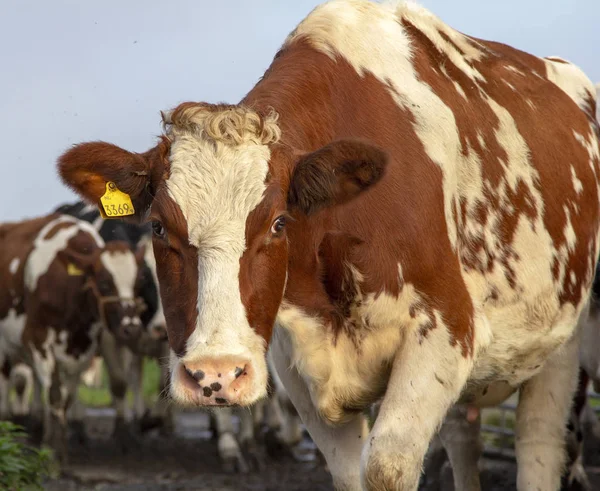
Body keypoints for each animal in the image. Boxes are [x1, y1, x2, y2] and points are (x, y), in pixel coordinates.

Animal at [0, 213, 145, 464]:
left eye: (137, 284)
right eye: (104, 283)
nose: (131, 327)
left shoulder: (82, 350)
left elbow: (65, 398)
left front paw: (55, 449)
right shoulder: (38, 340)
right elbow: (55, 395)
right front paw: (54, 457)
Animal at [55, 1, 600, 490]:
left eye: (278, 223)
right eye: (158, 227)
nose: (216, 375)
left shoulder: (446, 329)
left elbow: (386, 468)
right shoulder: (292, 364)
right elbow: (349, 473)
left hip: (563, 338)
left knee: (540, 442)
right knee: (464, 441)